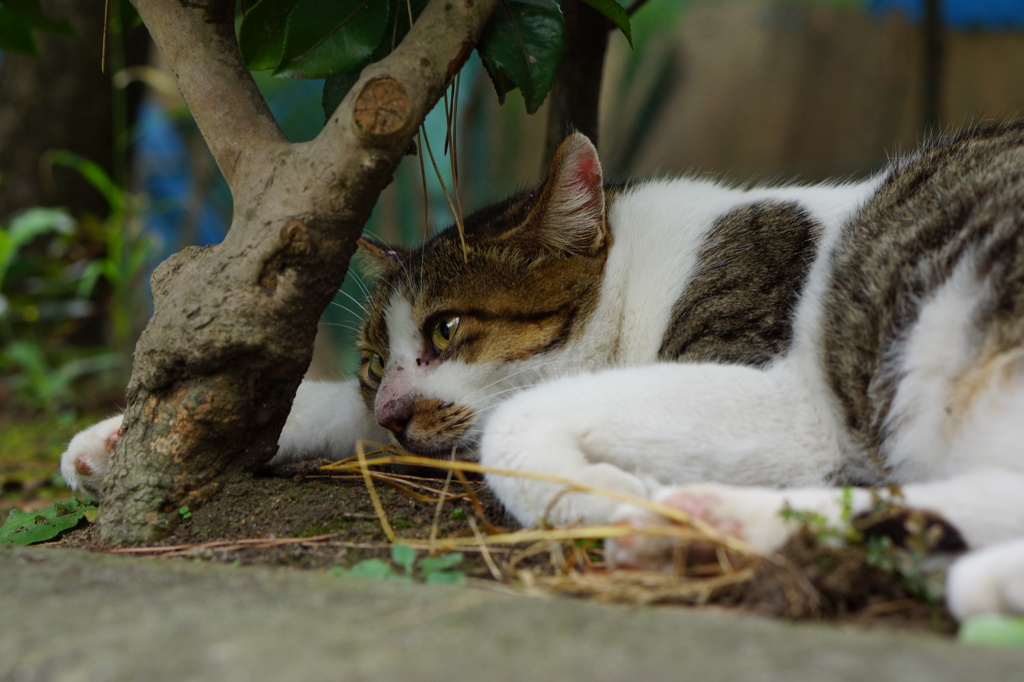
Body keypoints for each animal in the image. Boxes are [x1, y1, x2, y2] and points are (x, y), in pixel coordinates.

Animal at [59, 119, 1024, 618]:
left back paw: (681, 521)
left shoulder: (786, 397)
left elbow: (515, 424)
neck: (646, 275)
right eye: (372, 362)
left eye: (449, 328)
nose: (396, 405)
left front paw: (596, 493)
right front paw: (118, 437)